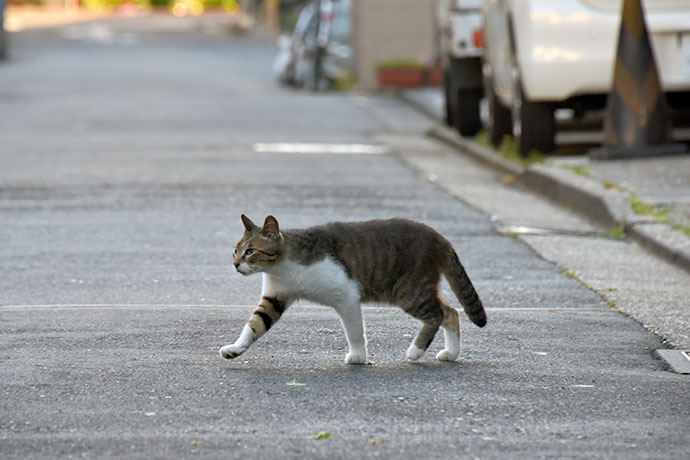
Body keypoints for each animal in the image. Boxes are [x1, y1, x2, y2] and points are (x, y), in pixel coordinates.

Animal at [219, 215, 484, 362]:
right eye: (235, 250)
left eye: (250, 251)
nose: (235, 264)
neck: (283, 267)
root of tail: (440, 237)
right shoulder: (275, 297)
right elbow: (255, 325)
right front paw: (235, 349)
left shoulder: (345, 296)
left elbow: (354, 331)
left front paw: (357, 357)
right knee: (451, 312)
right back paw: (451, 353)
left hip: (409, 292)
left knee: (438, 314)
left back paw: (416, 351)